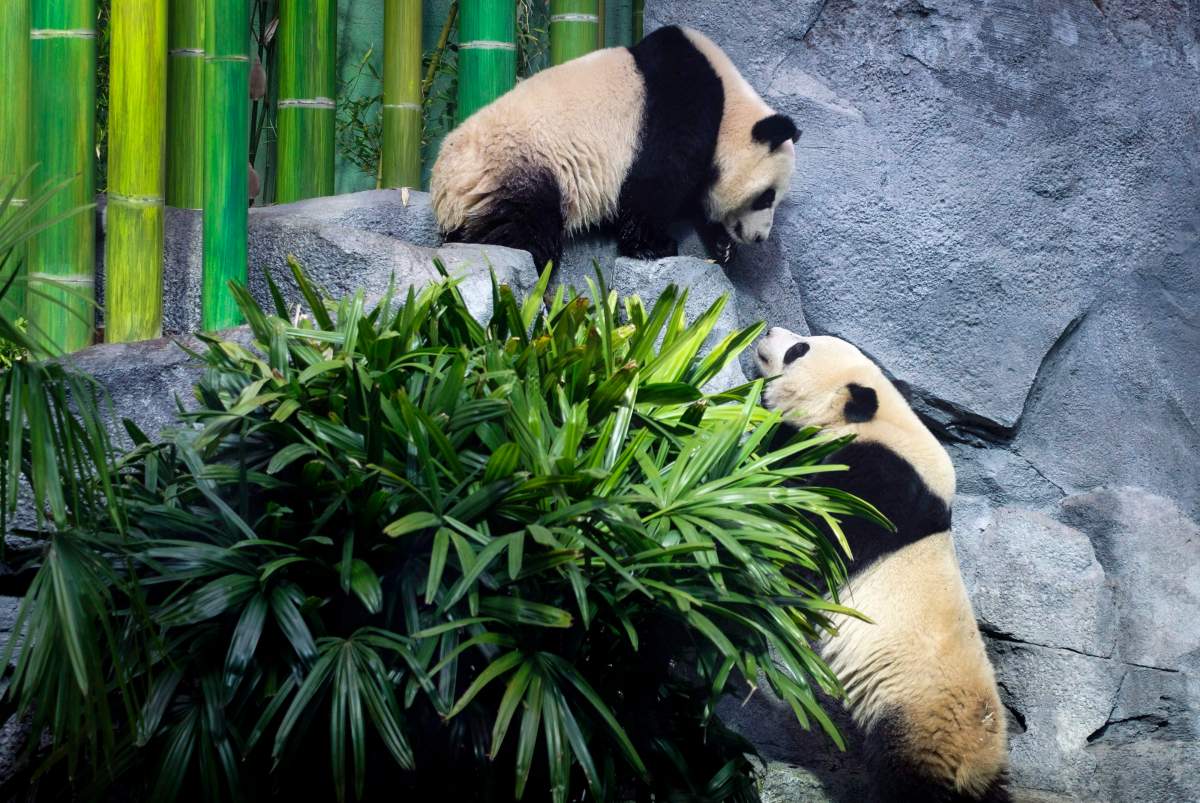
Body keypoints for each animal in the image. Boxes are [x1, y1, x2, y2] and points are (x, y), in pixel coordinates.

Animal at [430, 25, 798, 271]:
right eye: (766, 197)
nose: (759, 238)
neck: (729, 103)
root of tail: (445, 188)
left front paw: (722, 246)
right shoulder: (680, 103)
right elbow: (657, 180)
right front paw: (654, 246)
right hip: (516, 166)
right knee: (519, 229)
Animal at [754, 329, 1011, 803]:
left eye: (800, 349)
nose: (768, 332)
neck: (884, 422)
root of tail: (972, 770)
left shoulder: (877, 485)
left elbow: (817, 532)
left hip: (913, 725)